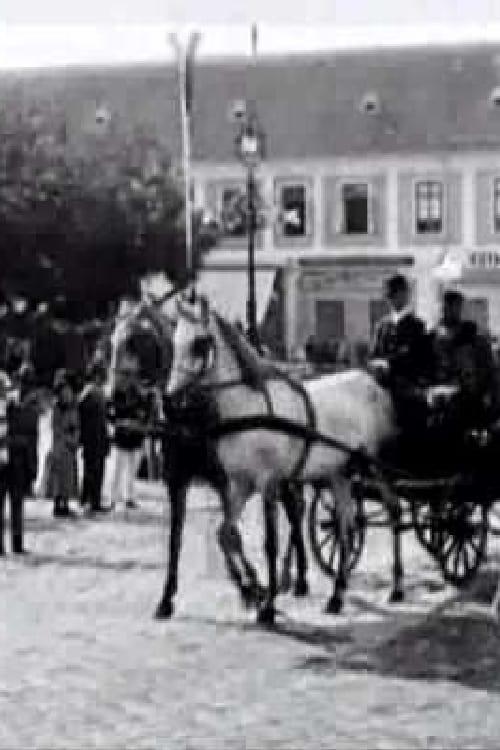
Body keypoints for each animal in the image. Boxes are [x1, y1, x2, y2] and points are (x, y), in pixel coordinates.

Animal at [160, 290, 398, 624]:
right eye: (174, 341)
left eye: (200, 343)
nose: (169, 399)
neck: (250, 409)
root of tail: (372, 380)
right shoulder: (238, 483)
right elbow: (225, 534)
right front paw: (254, 591)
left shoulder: (268, 483)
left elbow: (270, 543)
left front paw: (268, 605)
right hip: (339, 473)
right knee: (346, 527)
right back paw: (336, 595)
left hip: (376, 468)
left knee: (393, 511)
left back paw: (396, 588)